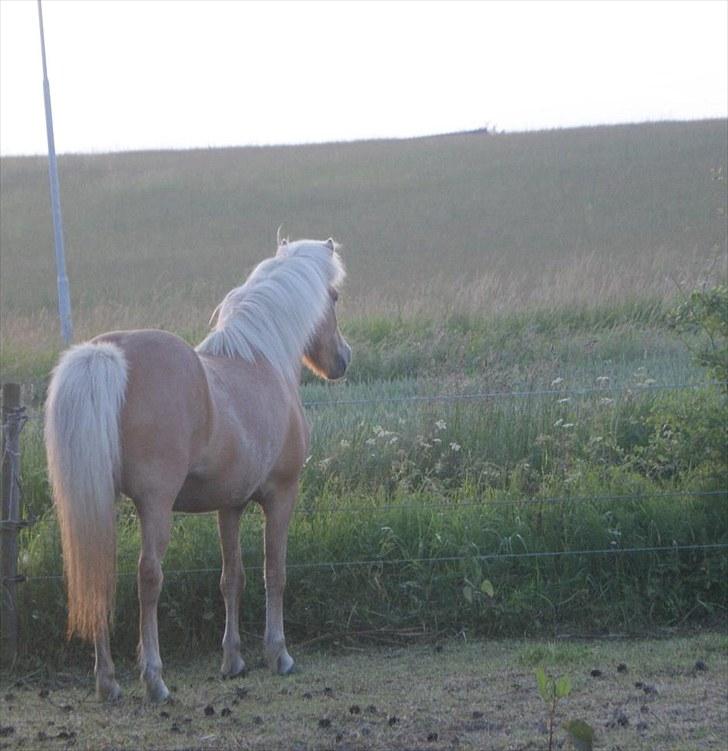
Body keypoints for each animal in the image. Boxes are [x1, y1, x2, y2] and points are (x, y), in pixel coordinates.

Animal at [44, 238, 352, 704]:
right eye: (332, 296)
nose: (343, 360)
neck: (262, 361)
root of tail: (107, 352)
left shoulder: (230, 505)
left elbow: (232, 578)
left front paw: (233, 661)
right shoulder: (281, 495)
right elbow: (274, 572)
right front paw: (278, 655)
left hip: (100, 503)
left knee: (100, 574)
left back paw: (108, 682)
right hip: (155, 505)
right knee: (148, 577)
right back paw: (154, 680)